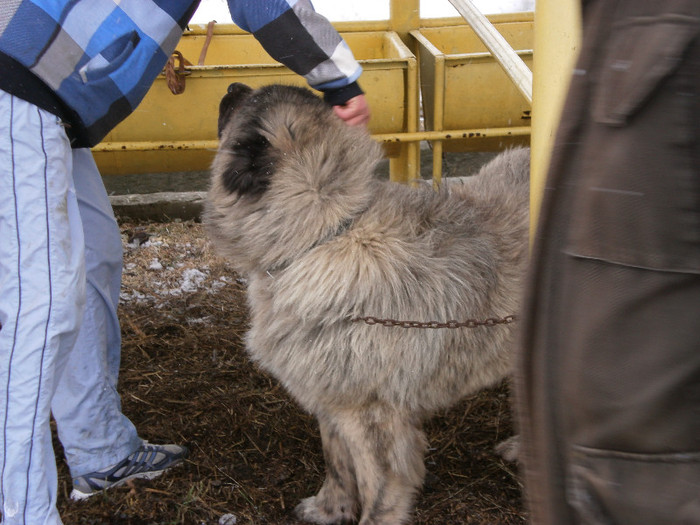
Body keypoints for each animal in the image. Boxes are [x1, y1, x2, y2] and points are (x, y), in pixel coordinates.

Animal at [205, 84, 528, 520]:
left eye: (245, 104)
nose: (232, 87)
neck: (325, 233)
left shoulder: (375, 422)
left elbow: (379, 494)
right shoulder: (332, 401)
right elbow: (337, 464)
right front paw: (330, 509)